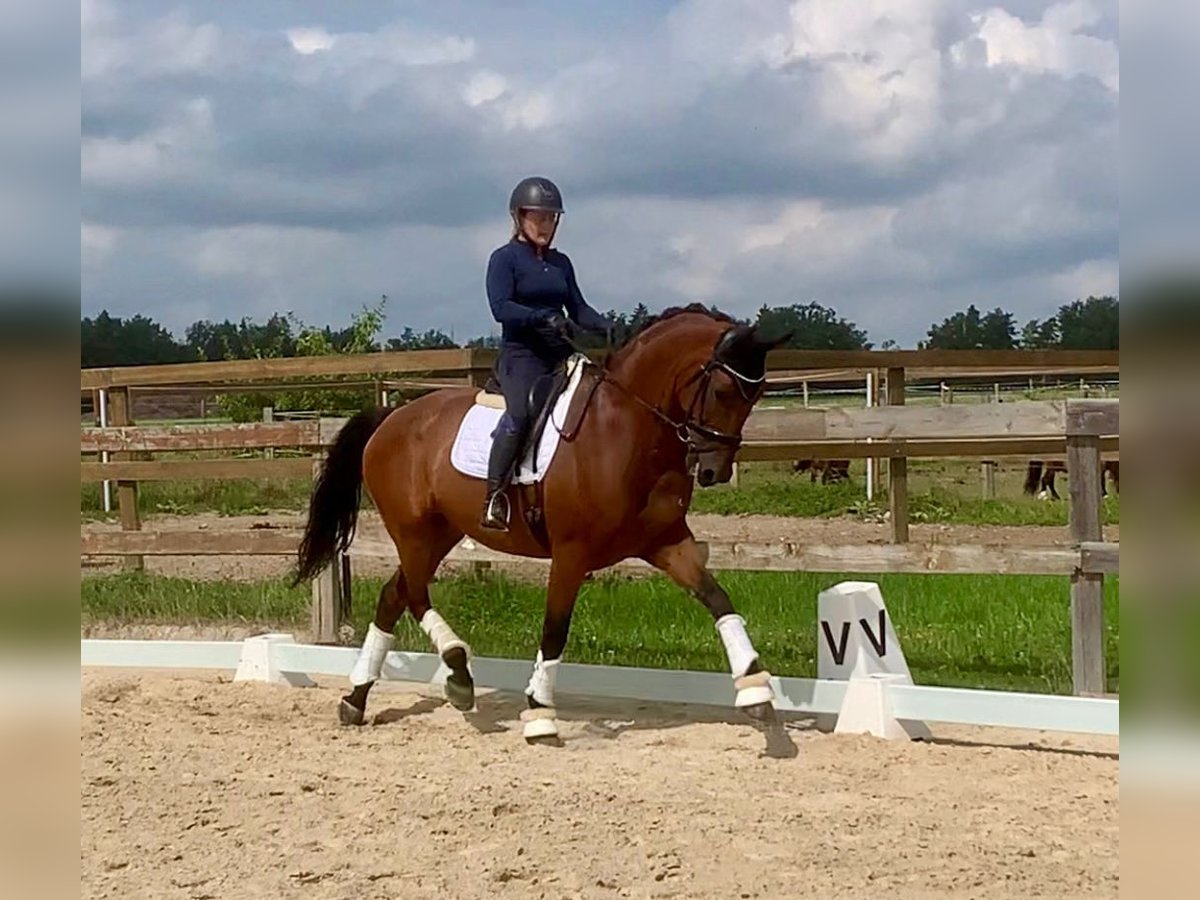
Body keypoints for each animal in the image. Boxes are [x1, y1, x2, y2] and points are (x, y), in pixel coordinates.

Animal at [294, 309, 792, 748]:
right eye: (724, 390)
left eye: (756, 395)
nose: (713, 471)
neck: (627, 430)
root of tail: (391, 419)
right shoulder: (572, 553)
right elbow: (555, 629)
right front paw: (539, 716)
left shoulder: (666, 542)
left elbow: (717, 598)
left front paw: (756, 690)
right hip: (414, 532)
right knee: (413, 592)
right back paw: (453, 669)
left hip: (439, 533)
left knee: (395, 595)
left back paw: (362, 697)